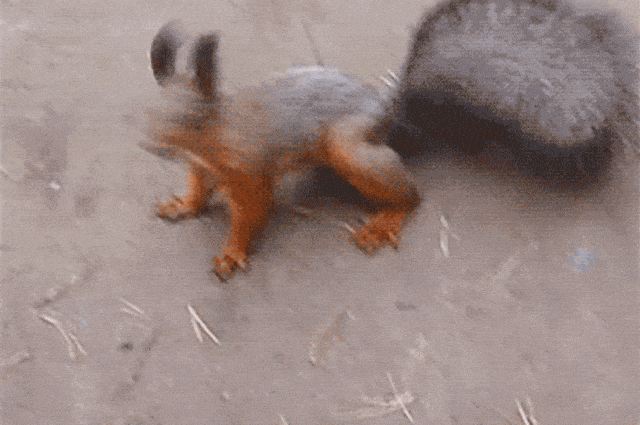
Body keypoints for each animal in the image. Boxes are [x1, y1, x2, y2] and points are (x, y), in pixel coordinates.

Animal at [143, 21, 419, 281]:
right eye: (150, 111)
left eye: (193, 119)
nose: (153, 147)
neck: (219, 134)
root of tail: (384, 109)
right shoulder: (199, 166)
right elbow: (198, 192)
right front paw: (183, 205)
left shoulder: (250, 173)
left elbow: (251, 213)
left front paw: (231, 253)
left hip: (348, 147)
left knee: (411, 197)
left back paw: (383, 224)